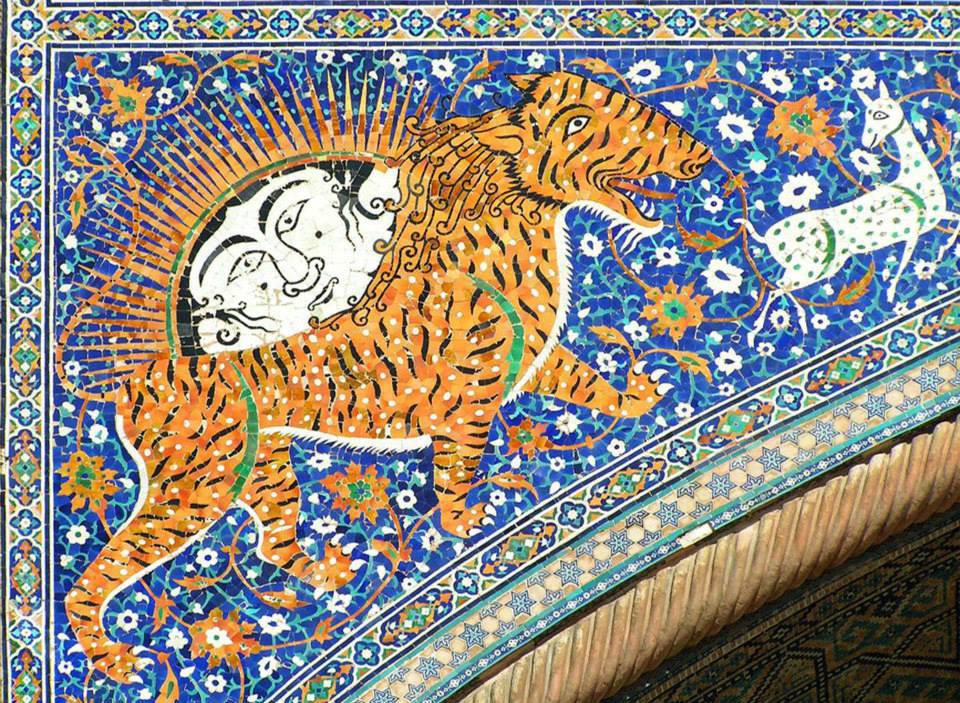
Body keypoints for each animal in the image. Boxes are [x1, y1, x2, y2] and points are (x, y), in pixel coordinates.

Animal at [60, 69, 711, 682]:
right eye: (577, 120)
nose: (698, 153)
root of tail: (135, 383)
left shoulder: (535, 362)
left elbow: (588, 383)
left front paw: (639, 397)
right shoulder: (465, 409)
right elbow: (455, 474)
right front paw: (462, 523)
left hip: (264, 467)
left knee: (273, 541)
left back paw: (329, 572)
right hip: (195, 487)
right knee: (95, 578)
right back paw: (111, 660)